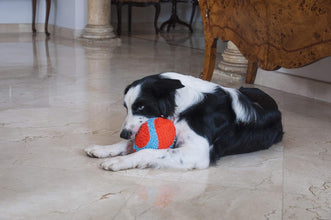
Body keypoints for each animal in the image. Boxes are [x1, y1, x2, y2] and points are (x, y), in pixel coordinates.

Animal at [84, 72, 284, 170]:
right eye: (126, 107)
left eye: (141, 107)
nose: (123, 134)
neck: (183, 106)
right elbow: (131, 145)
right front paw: (102, 149)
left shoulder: (198, 152)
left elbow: (149, 151)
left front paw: (119, 161)